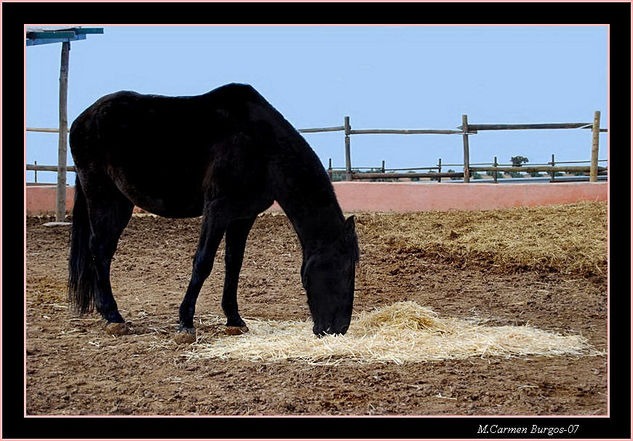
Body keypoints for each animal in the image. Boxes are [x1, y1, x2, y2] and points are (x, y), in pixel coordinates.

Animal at [68, 83, 358, 336]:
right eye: (344, 269)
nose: (337, 328)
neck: (259, 144)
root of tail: (83, 118)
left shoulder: (243, 216)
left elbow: (234, 264)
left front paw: (234, 320)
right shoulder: (217, 210)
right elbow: (203, 262)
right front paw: (185, 322)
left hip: (120, 201)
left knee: (103, 251)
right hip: (104, 197)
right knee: (100, 249)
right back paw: (113, 316)